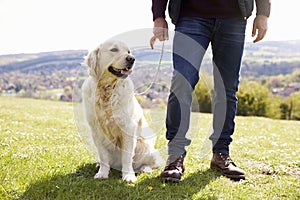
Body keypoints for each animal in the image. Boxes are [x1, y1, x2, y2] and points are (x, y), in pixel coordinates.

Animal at [81, 40, 163, 183]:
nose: (132, 59)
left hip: (146, 147)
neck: (107, 89)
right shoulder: (96, 131)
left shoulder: (128, 128)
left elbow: (127, 157)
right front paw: (102, 173)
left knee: (151, 163)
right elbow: (103, 156)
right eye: (114, 49)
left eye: (129, 51)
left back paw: (144, 168)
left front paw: (128, 176)